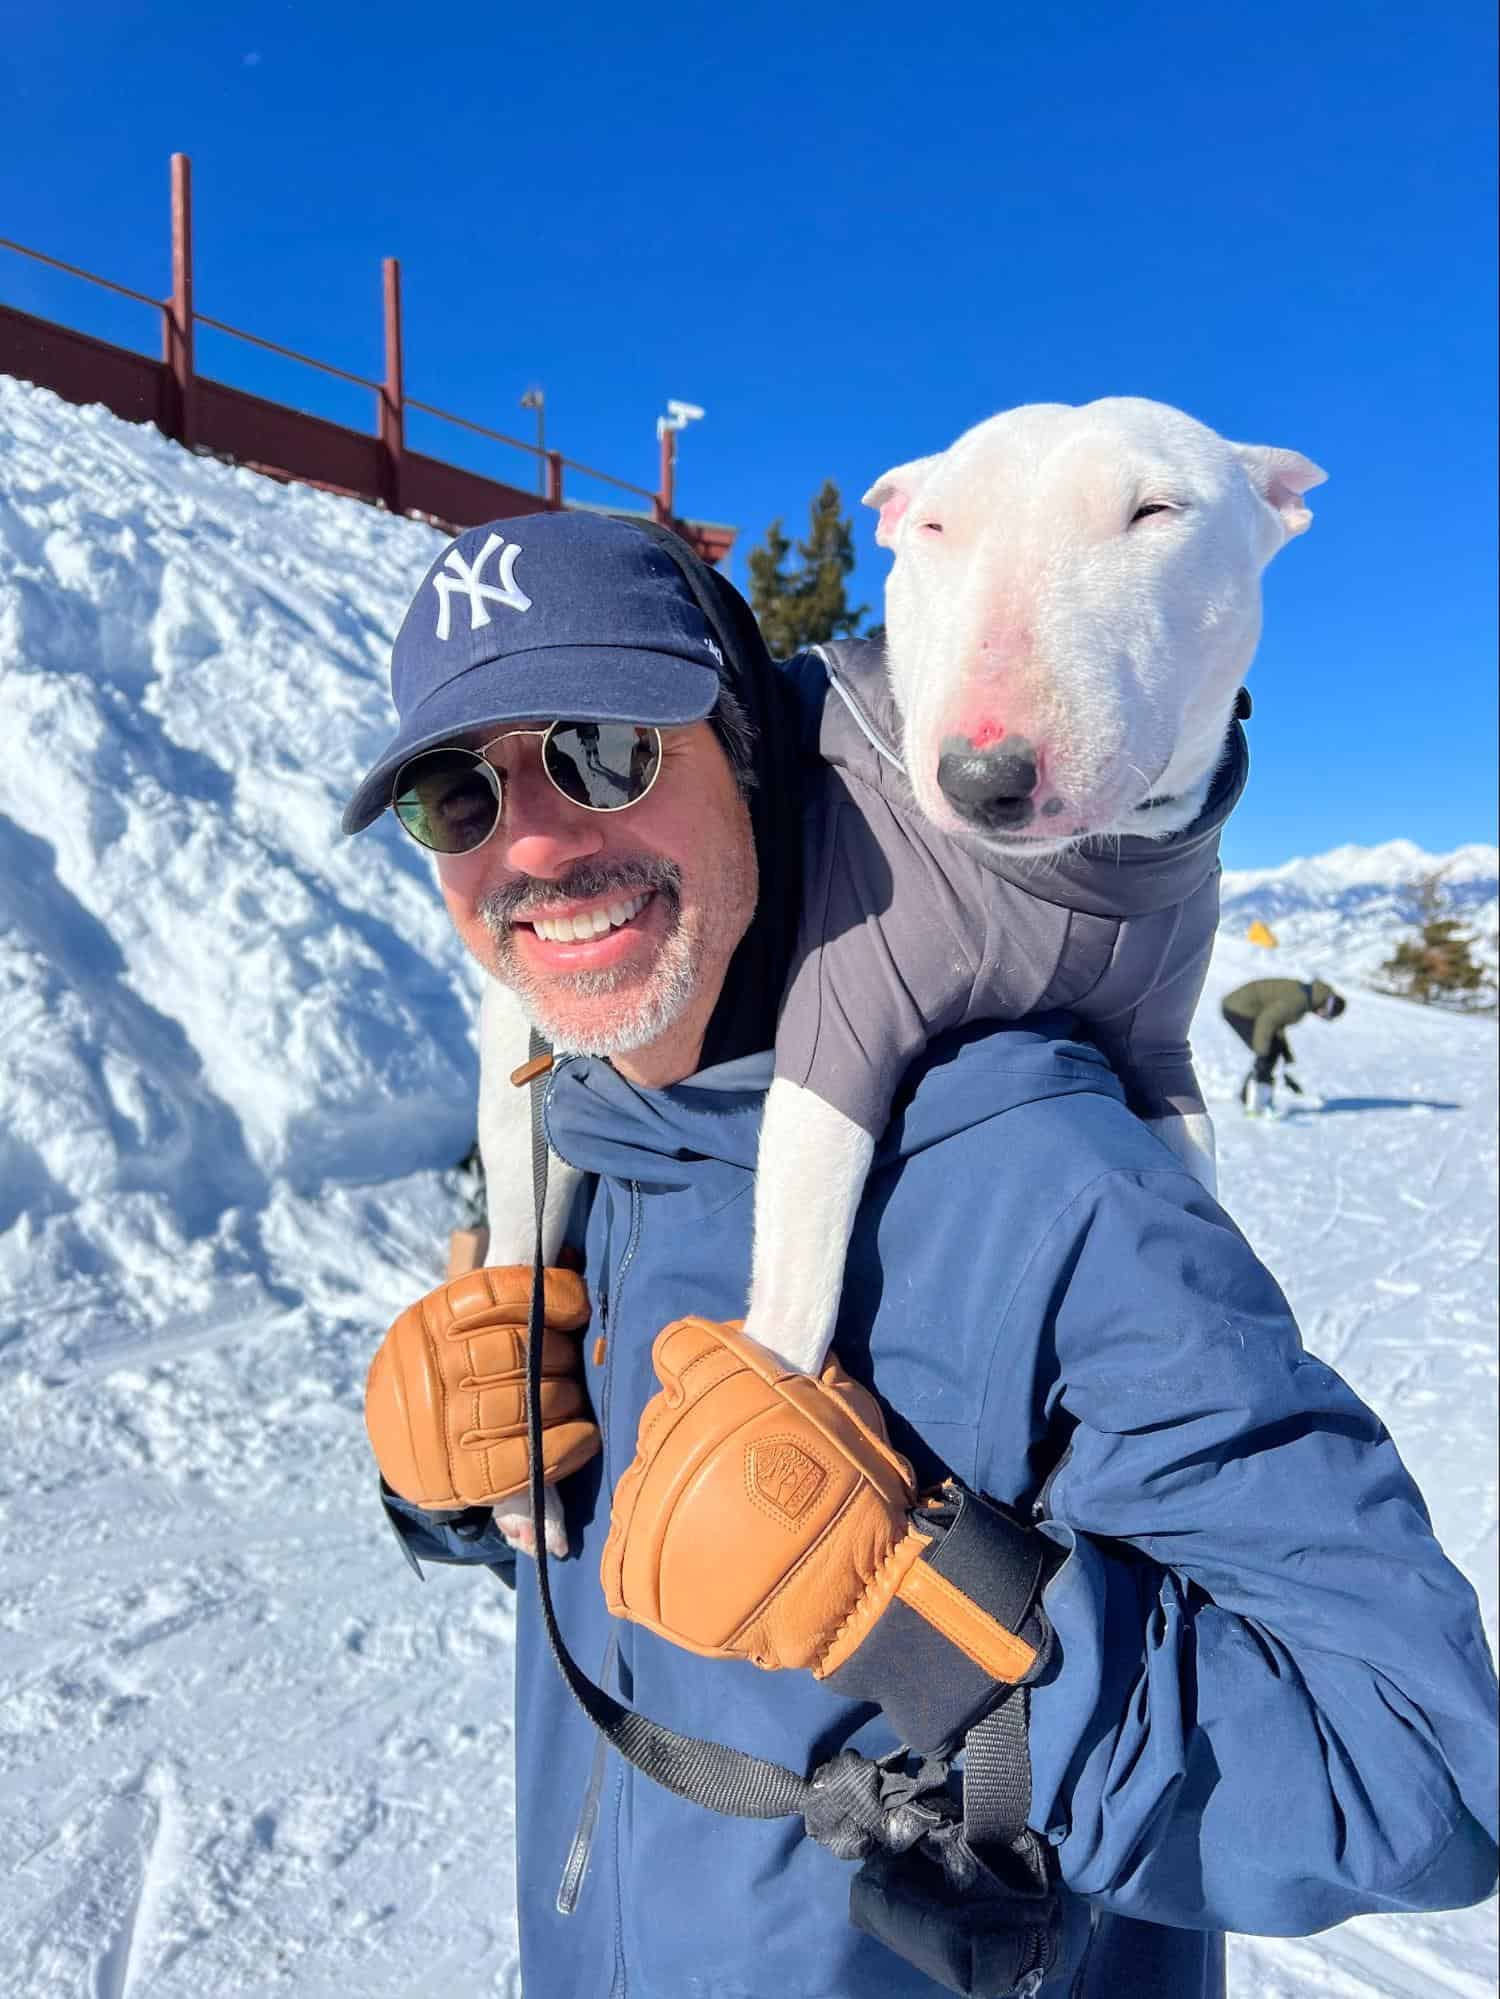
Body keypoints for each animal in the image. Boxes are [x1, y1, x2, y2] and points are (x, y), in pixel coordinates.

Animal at [482, 401, 1328, 1559]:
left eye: (1156, 511)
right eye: (933, 525)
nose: (985, 773)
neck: (1065, 889)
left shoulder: (1164, 1054)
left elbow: (1192, 1171)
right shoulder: (836, 1038)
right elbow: (794, 1294)